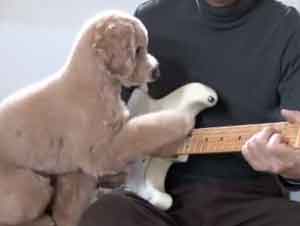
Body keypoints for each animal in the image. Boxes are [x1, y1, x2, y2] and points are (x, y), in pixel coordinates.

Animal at [0, 11, 195, 226]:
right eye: (137, 50)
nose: (157, 71)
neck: (99, 86)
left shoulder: (79, 171)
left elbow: (71, 204)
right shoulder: (100, 152)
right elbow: (143, 129)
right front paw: (180, 120)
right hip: (29, 187)